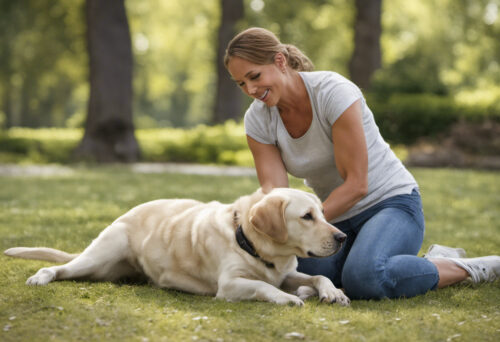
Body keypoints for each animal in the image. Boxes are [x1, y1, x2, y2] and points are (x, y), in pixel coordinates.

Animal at [4, 188, 348, 306]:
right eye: (307, 216)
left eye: (323, 214)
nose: (342, 238)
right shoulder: (230, 284)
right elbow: (264, 287)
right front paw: (287, 298)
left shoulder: (286, 273)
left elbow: (317, 277)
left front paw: (332, 292)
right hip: (97, 258)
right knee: (57, 268)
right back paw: (41, 277)